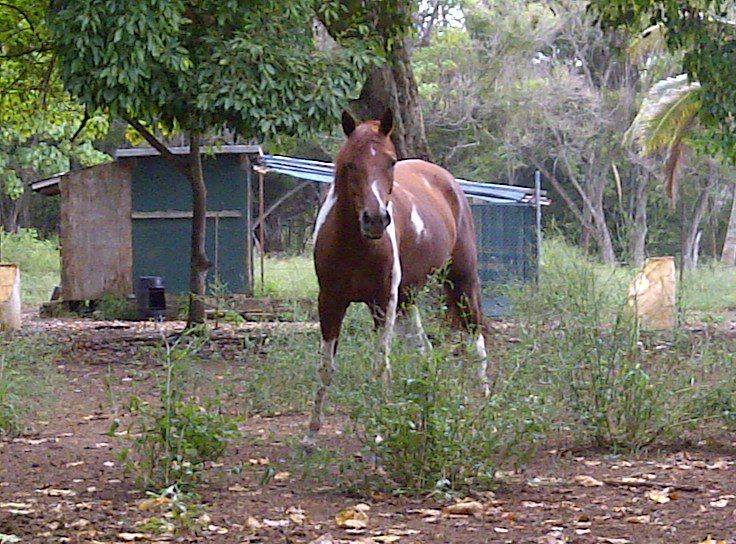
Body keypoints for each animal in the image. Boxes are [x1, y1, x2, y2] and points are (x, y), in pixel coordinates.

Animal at [304, 108, 488, 444]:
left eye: (390, 161)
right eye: (350, 163)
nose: (376, 219)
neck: (354, 245)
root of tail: (446, 180)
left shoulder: (382, 303)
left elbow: (381, 365)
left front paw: (380, 430)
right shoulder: (330, 302)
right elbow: (326, 366)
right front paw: (311, 435)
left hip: (461, 282)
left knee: (475, 339)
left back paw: (484, 405)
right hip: (408, 298)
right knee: (426, 352)